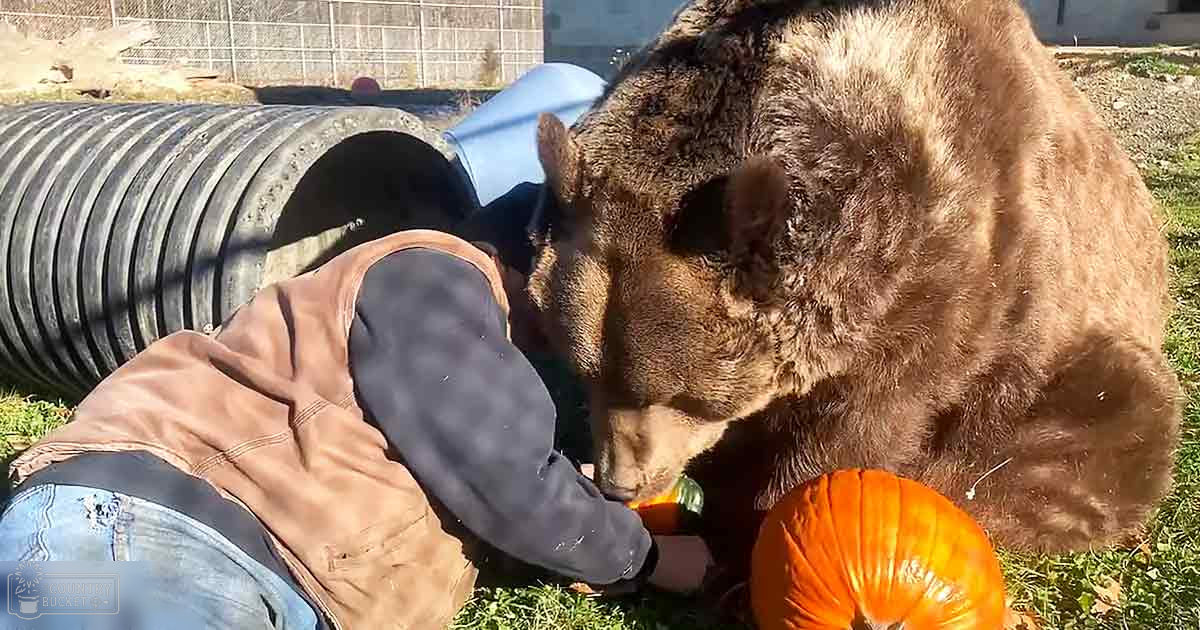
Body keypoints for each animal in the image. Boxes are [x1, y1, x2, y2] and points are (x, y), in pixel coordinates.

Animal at [525, 0, 1184, 584]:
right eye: (585, 370)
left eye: (685, 396)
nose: (620, 483)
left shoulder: (950, 276)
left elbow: (863, 424)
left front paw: (754, 529)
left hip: (1069, 354)